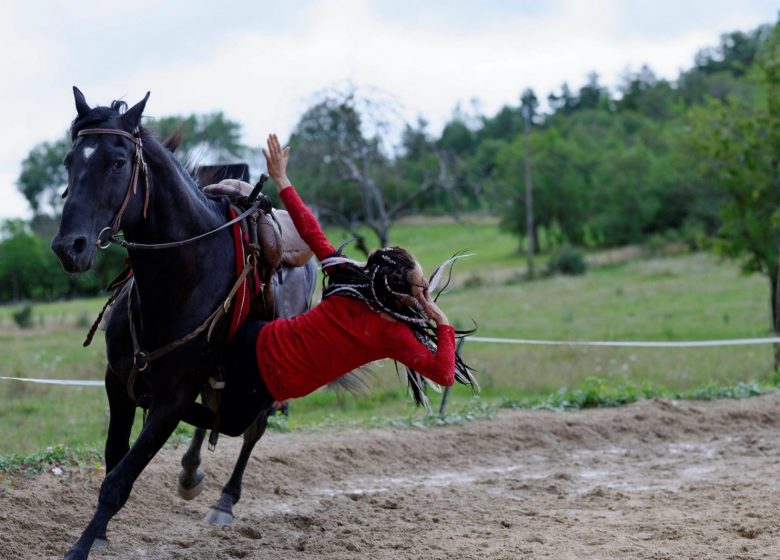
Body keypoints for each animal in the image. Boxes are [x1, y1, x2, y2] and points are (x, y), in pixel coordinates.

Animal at [50, 87, 314, 560]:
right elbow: (114, 455)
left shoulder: (173, 397)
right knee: (216, 416)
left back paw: (224, 501)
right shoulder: (118, 382)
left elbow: (119, 479)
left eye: (118, 162)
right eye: (69, 160)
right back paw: (191, 472)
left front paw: (81, 545)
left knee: (251, 429)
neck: (182, 276)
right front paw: (98, 534)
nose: (69, 247)